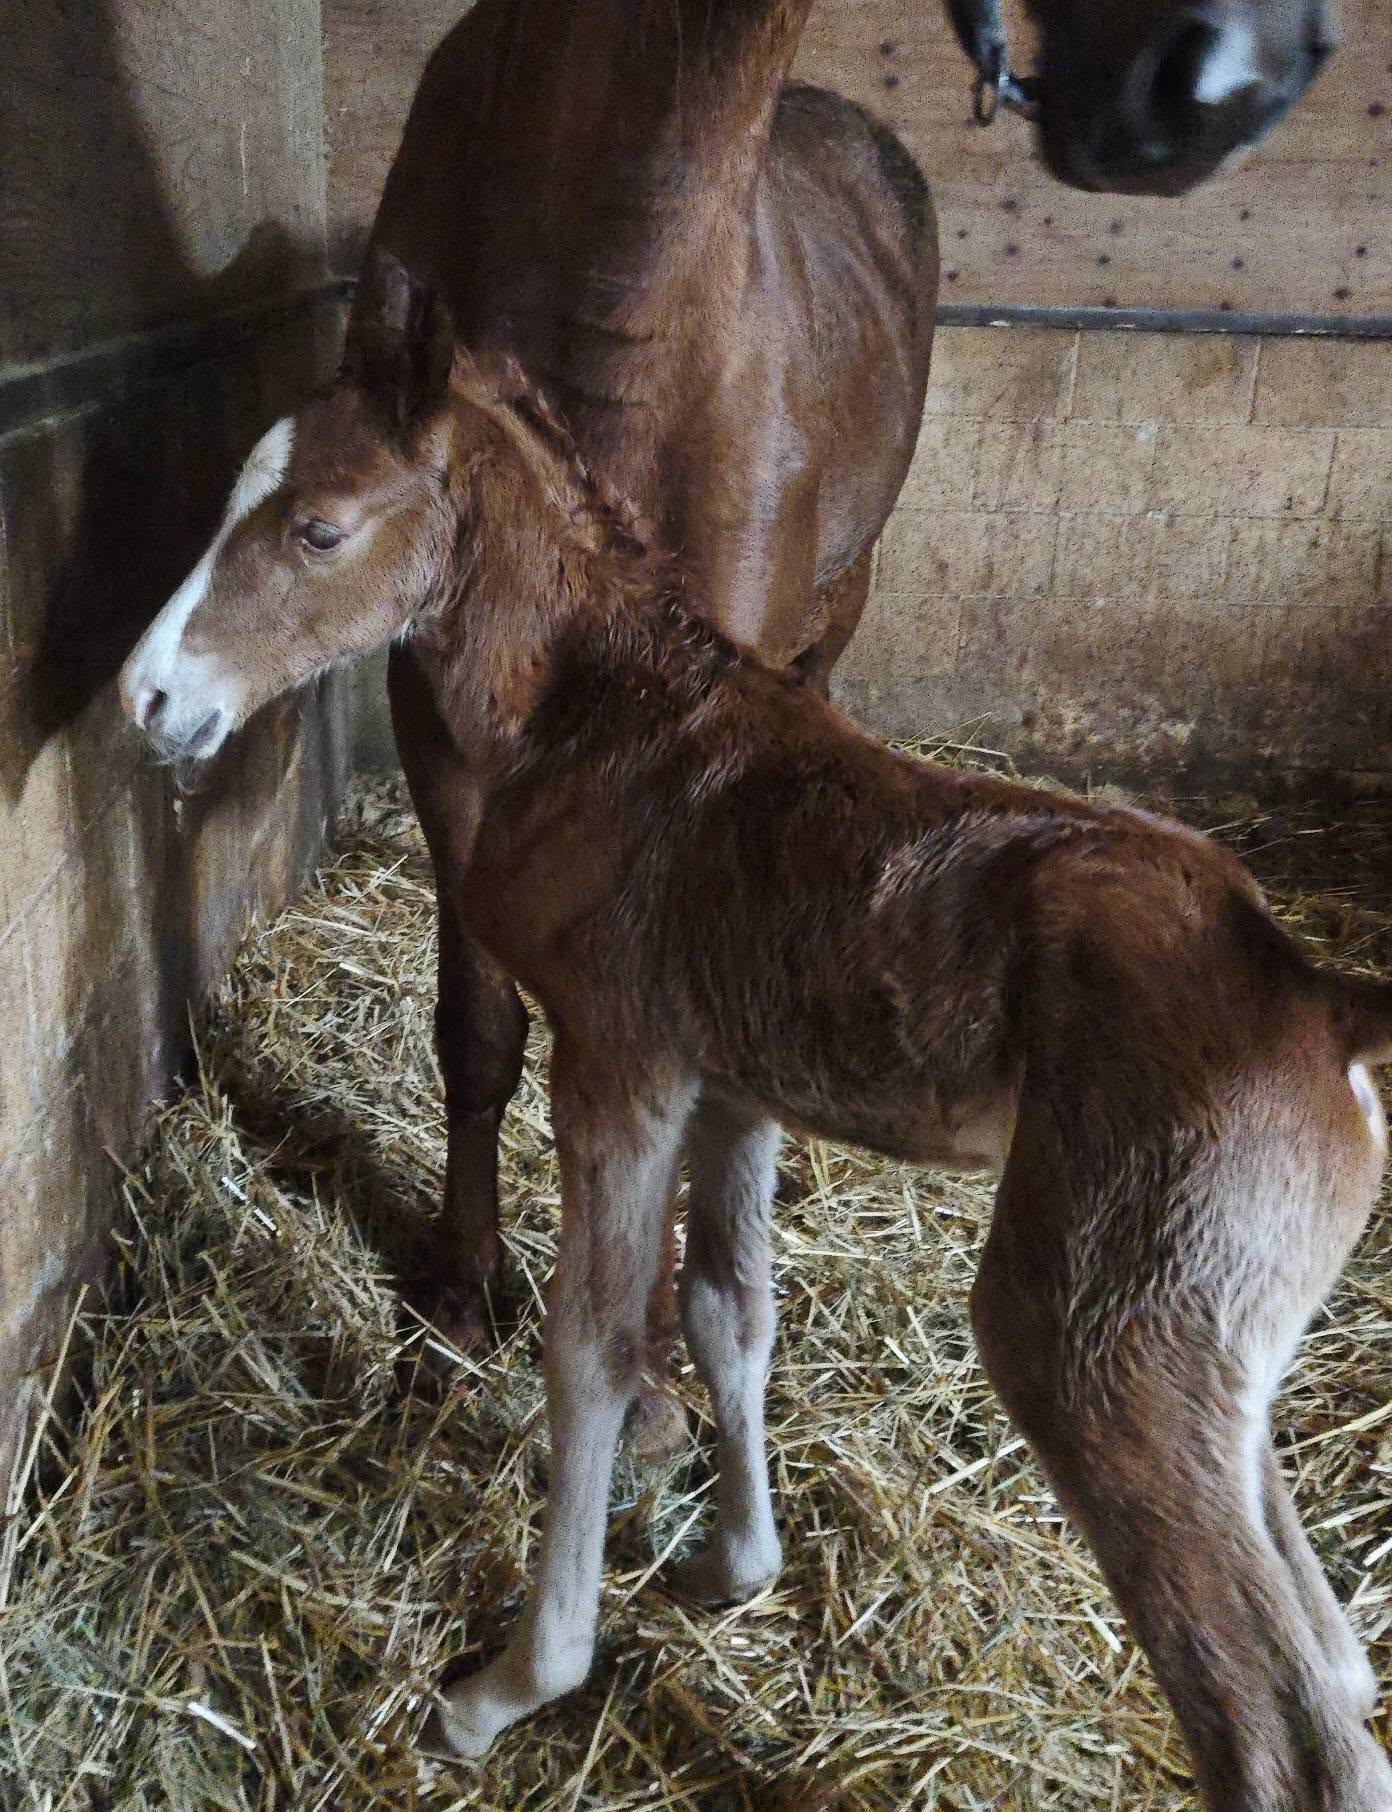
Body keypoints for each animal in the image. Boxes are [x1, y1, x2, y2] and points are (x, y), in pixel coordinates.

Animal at [117, 267, 1392, 1810]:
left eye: (319, 526)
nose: (145, 699)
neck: (609, 723)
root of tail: (1318, 996)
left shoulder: (621, 1063)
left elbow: (598, 1348)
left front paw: (513, 1687)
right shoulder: (733, 1087)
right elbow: (730, 1310)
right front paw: (733, 1566)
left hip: (1109, 1350)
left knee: (1273, 1724)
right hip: (1220, 1361)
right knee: (1335, 1666)